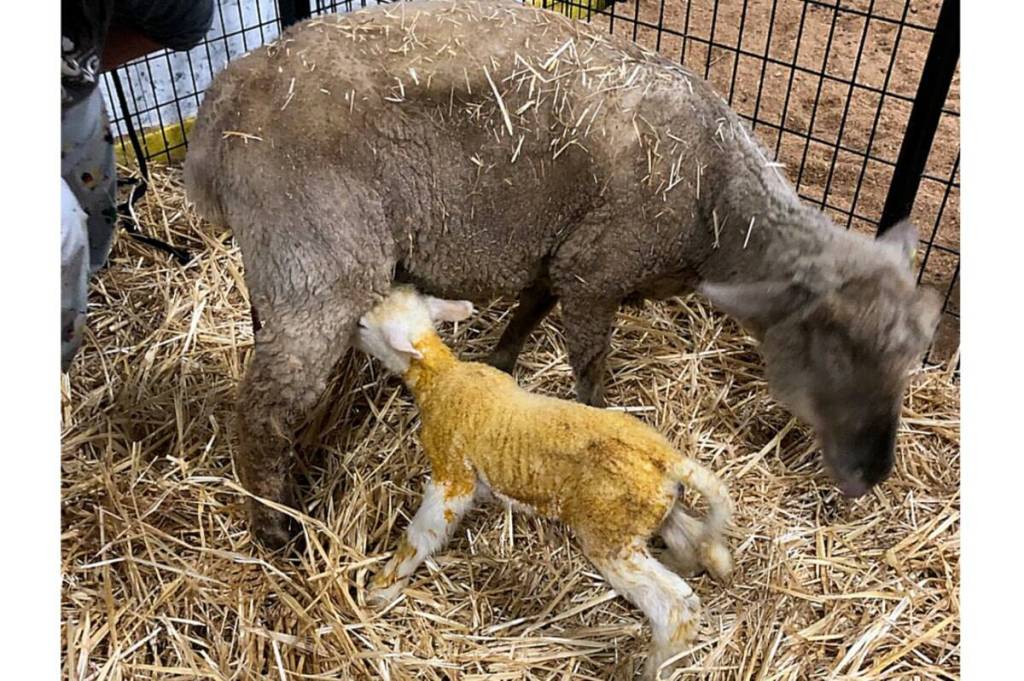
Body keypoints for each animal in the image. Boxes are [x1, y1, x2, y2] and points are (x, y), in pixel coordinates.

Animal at [183, 0, 942, 547]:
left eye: (912, 356)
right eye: (830, 349)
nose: (872, 473)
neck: (716, 203)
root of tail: (218, 111)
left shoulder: (560, 258)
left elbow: (523, 319)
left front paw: (498, 372)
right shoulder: (596, 272)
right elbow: (591, 373)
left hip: (289, 264)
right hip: (312, 258)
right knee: (261, 410)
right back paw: (275, 530)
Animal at [353, 285, 734, 680]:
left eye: (364, 325)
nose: (352, 330)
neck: (442, 377)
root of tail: (667, 458)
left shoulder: (451, 474)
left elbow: (422, 535)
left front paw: (382, 588)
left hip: (610, 538)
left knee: (676, 606)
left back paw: (655, 667)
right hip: (648, 511)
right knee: (691, 536)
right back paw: (708, 564)